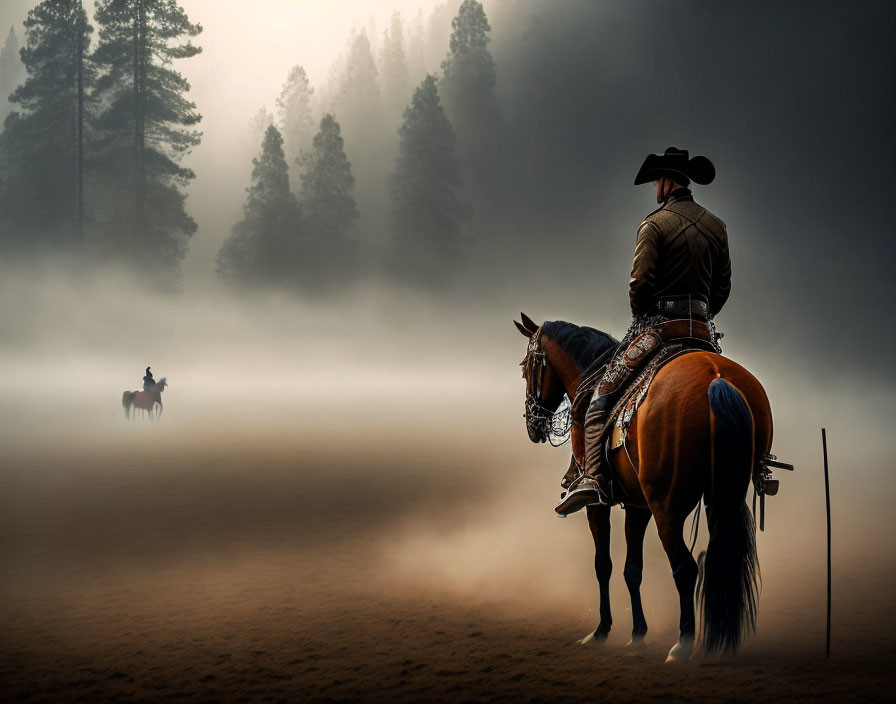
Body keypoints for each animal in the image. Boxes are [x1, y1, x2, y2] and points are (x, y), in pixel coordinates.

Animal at [516, 316, 772, 664]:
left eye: (527, 366)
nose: (532, 424)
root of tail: (717, 379)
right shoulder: (638, 506)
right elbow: (632, 570)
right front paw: (638, 633)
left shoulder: (599, 505)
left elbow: (603, 565)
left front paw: (601, 630)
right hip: (721, 497)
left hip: (667, 507)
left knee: (685, 568)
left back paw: (683, 644)